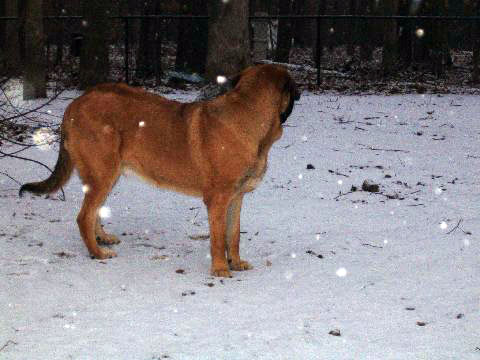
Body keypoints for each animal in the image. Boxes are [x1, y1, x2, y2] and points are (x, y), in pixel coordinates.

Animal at [21, 64, 300, 278]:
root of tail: (75, 104)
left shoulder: (237, 197)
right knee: (83, 217)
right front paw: (221, 269)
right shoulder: (218, 200)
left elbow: (234, 235)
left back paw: (102, 238)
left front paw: (237, 262)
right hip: (103, 173)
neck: (250, 117)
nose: (299, 94)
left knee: (93, 213)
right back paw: (97, 253)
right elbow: (219, 238)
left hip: (107, 175)